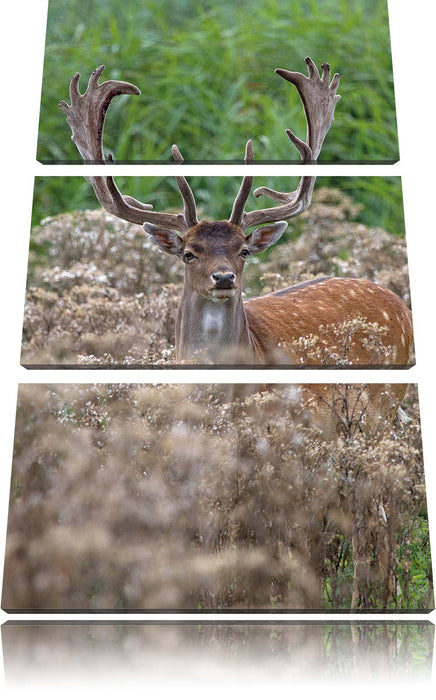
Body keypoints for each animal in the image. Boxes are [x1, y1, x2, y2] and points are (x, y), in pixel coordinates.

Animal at [59, 58, 414, 608]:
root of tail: (400, 303)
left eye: (244, 249)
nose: (224, 278)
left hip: (375, 416)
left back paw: (369, 606)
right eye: (189, 252)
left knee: (373, 512)